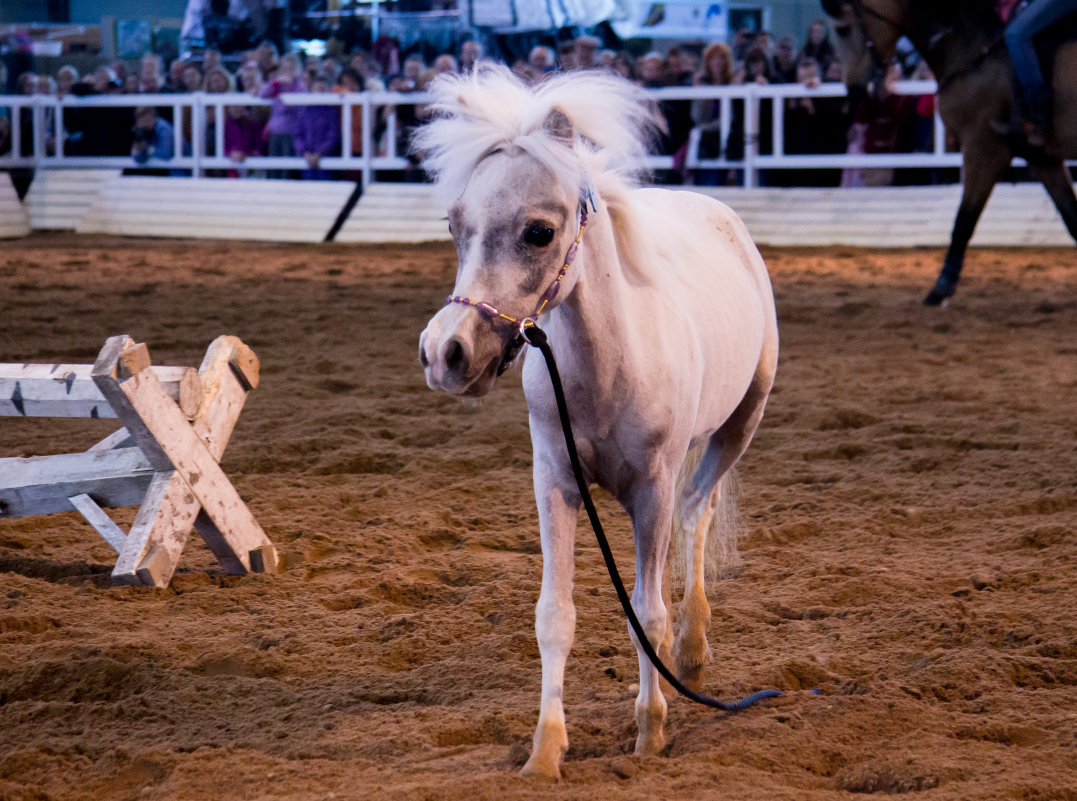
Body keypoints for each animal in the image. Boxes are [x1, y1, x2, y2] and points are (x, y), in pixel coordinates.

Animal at [415, 65, 779, 779]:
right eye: (454, 224)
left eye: (538, 232)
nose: (446, 353)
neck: (612, 365)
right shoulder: (554, 482)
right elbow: (554, 616)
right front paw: (545, 750)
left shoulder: (653, 491)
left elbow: (647, 611)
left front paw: (650, 733)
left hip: (739, 425)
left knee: (698, 512)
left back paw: (692, 651)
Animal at [818, 0, 1072, 303]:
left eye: (842, 30)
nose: (853, 90)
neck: (973, 48)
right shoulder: (1042, 158)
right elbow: (1072, 218)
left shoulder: (983, 149)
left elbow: (964, 220)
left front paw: (942, 286)